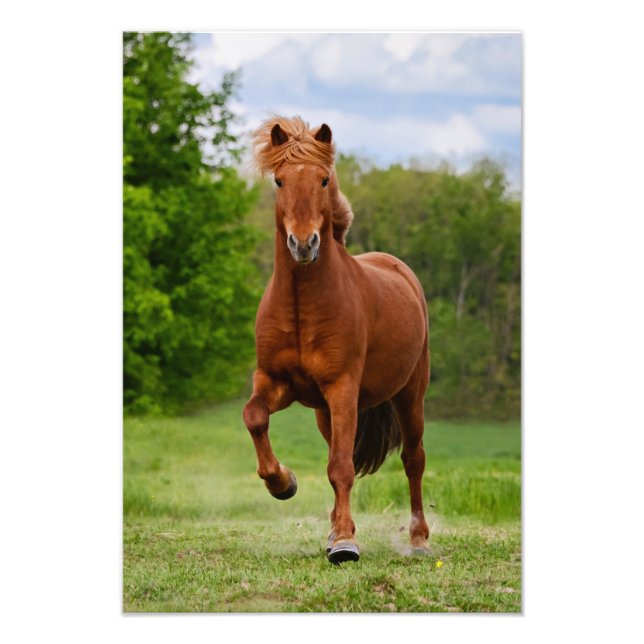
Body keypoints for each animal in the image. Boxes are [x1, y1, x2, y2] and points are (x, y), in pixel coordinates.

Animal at [242, 116, 430, 564]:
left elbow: (341, 467)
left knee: (413, 459)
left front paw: (345, 543)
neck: (301, 307)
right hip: (324, 413)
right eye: (279, 181)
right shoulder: (275, 382)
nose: (304, 243)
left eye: (324, 180)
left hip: (410, 395)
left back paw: (418, 539)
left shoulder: (342, 388)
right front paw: (283, 483)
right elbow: (254, 416)